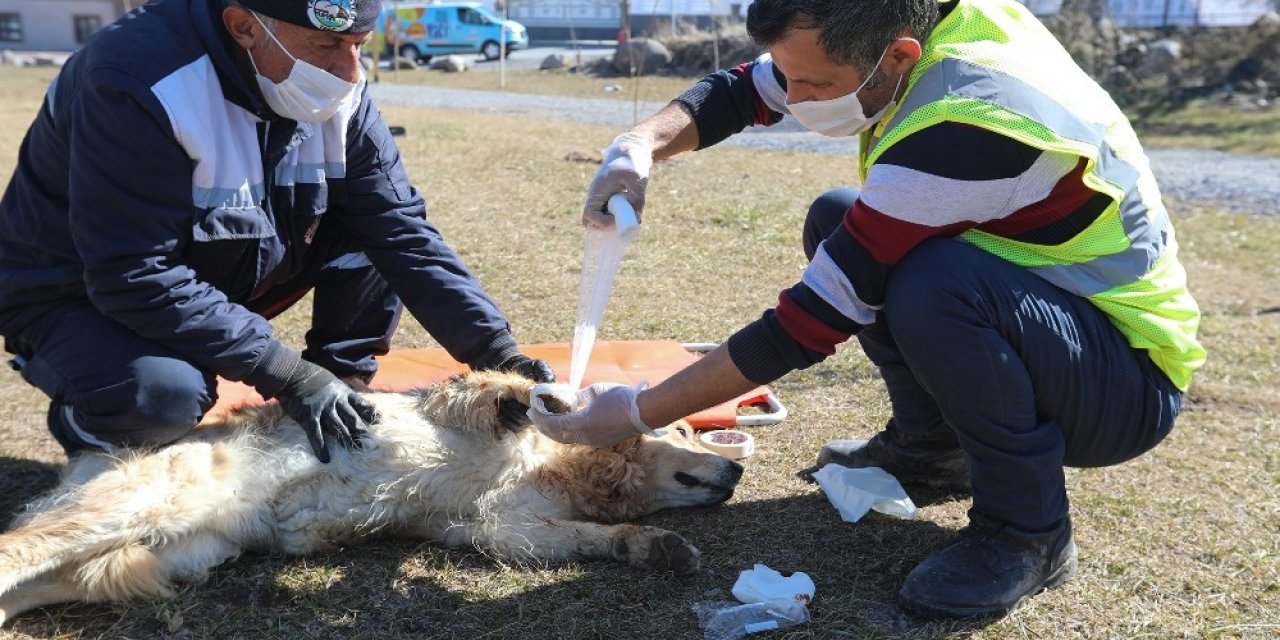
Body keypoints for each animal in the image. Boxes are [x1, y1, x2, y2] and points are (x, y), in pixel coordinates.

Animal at [0, 371, 747, 624]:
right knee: (16, 548)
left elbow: (598, 540)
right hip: (137, 506)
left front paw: (656, 547)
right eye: (684, 427)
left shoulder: (509, 530)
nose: (736, 474)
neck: (564, 466)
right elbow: (497, 387)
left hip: (172, 552)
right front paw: (543, 393)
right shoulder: (461, 410)